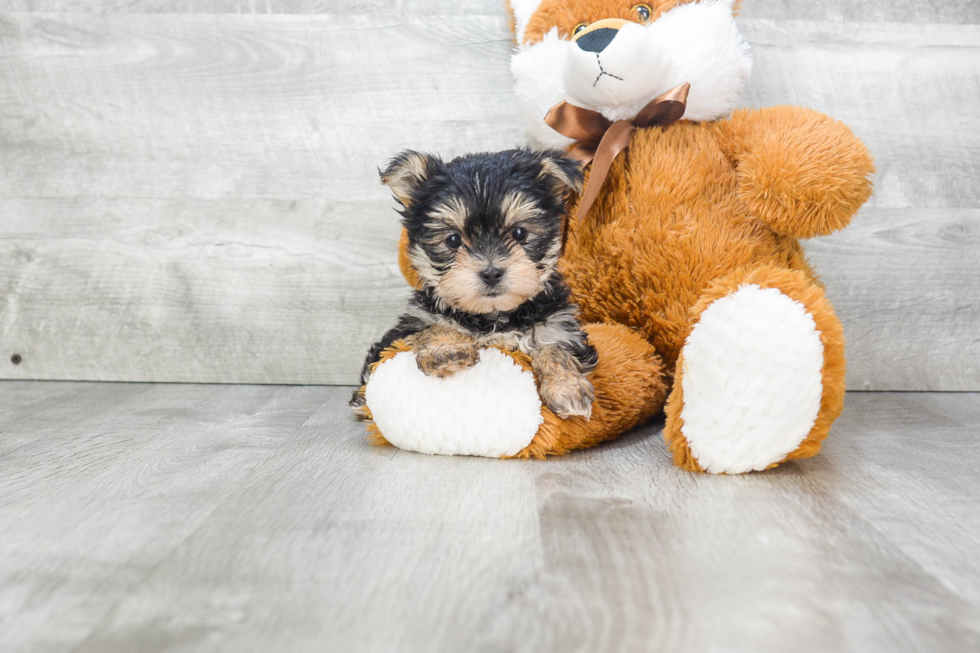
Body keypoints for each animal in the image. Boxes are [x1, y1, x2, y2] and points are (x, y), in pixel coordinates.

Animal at [352, 148, 596, 420]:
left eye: (519, 233)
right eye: (453, 240)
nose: (491, 272)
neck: (492, 316)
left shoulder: (557, 324)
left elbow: (555, 348)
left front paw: (567, 388)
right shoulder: (415, 321)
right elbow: (436, 325)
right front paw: (446, 350)